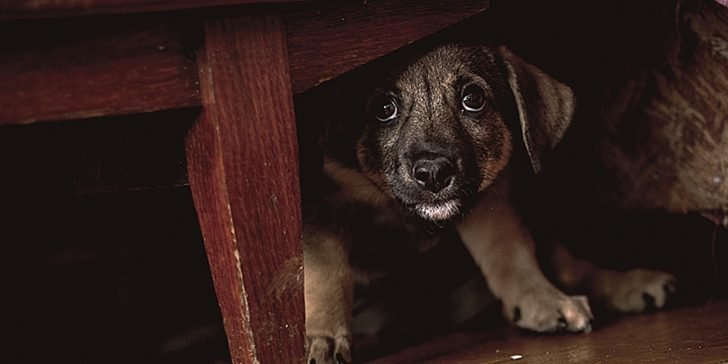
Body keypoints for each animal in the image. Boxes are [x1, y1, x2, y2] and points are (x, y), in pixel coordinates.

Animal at [302, 43, 676, 364]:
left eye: (473, 99)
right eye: (384, 108)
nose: (434, 173)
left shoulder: (491, 199)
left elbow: (510, 251)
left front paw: (539, 298)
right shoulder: (323, 208)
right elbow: (327, 273)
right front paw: (323, 337)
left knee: (569, 263)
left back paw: (627, 284)